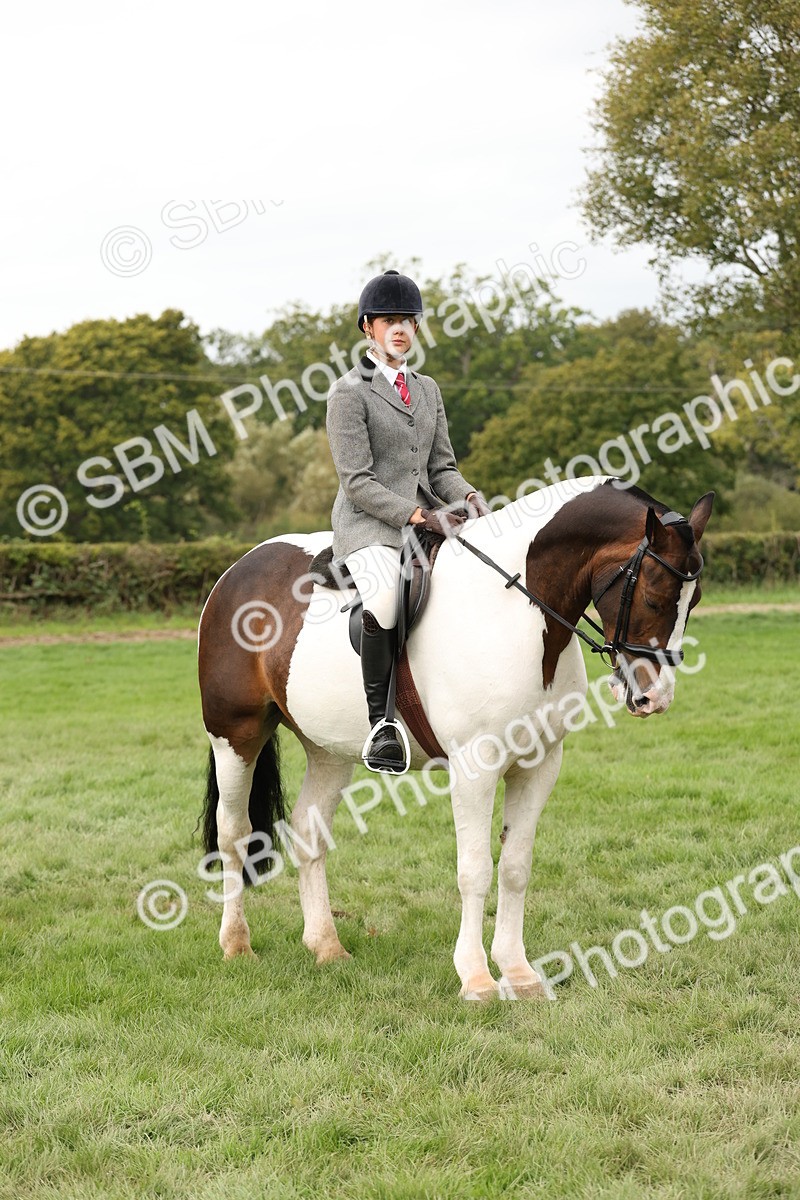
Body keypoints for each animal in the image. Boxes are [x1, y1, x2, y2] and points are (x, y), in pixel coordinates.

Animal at [197, 476, 713, 1001]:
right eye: (653, 597)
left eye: (692, 604)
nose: (654, 697)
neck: (517, 610)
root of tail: (237, 569)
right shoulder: (475, 766)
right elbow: (475, 871)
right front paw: (477, 978)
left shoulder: (540, 764)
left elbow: (515, 867)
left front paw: (519, 974)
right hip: (235, 734)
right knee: (234, 832)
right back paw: (236, 944)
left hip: (328, 750)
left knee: (308, 830)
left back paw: (326, 946)